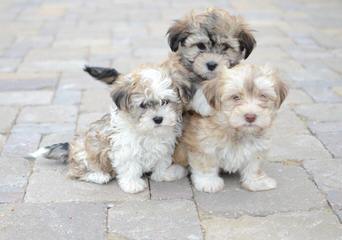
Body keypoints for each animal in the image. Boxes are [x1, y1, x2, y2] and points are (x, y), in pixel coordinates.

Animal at [28, 66, 187, 194]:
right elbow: (130, 167)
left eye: (165, 101)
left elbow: (162, 162)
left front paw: (164, 174)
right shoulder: (125, 150)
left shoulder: (164, 147)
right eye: (143, 105)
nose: (158, 119)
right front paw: (132, 185)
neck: (148, 131)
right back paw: (99, 176)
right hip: (85, 154)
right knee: (76, 172)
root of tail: (70, 147)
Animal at [174, 63, 288, 193]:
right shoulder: (204, 144)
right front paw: (208, 182)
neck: (236, 131)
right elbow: (206, 163)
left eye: (263, 96)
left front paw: (256, 181)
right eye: (235, 97)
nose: (250, 116)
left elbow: (253, 165)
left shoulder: (257, 147)